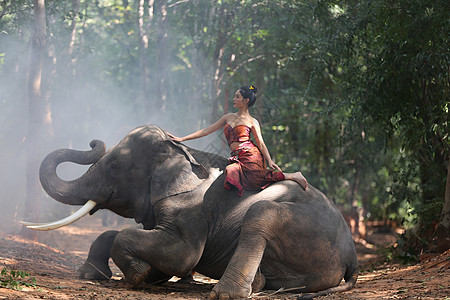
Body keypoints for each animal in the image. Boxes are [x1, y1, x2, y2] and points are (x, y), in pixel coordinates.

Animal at [28, 125, 358, 300]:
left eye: (114, 166)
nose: (93, 141)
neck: (183, 153)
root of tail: (351, 255)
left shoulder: (191, 211)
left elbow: (180, 254)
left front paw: (140, 275)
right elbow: (120, 235)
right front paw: (94, 275)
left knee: (260, 215)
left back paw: (225, 293)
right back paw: (258, 283)